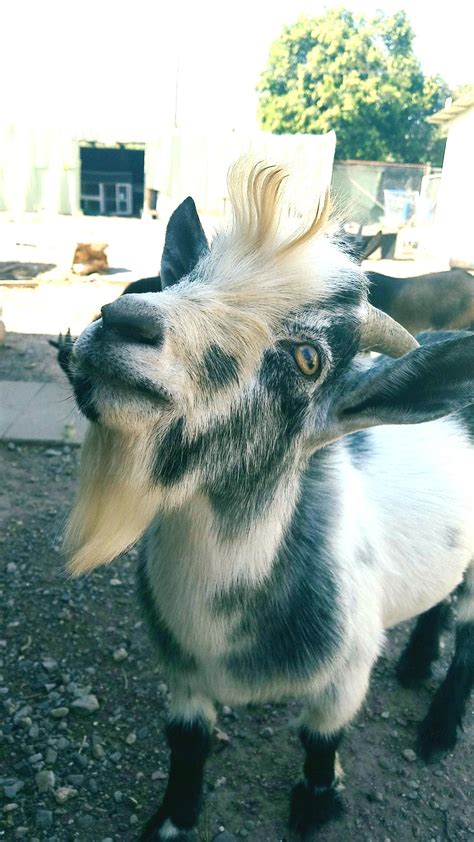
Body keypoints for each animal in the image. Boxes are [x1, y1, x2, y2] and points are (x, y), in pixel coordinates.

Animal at [63, 160, 474, 841]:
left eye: (309, 359)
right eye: (189, 278)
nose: (123, 320)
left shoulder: (348, 669)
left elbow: (319, 739)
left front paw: (314, 806)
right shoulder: (182, 673)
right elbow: (187, 742)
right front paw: (172, 820)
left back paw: (438, 729)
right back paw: (416, 667)